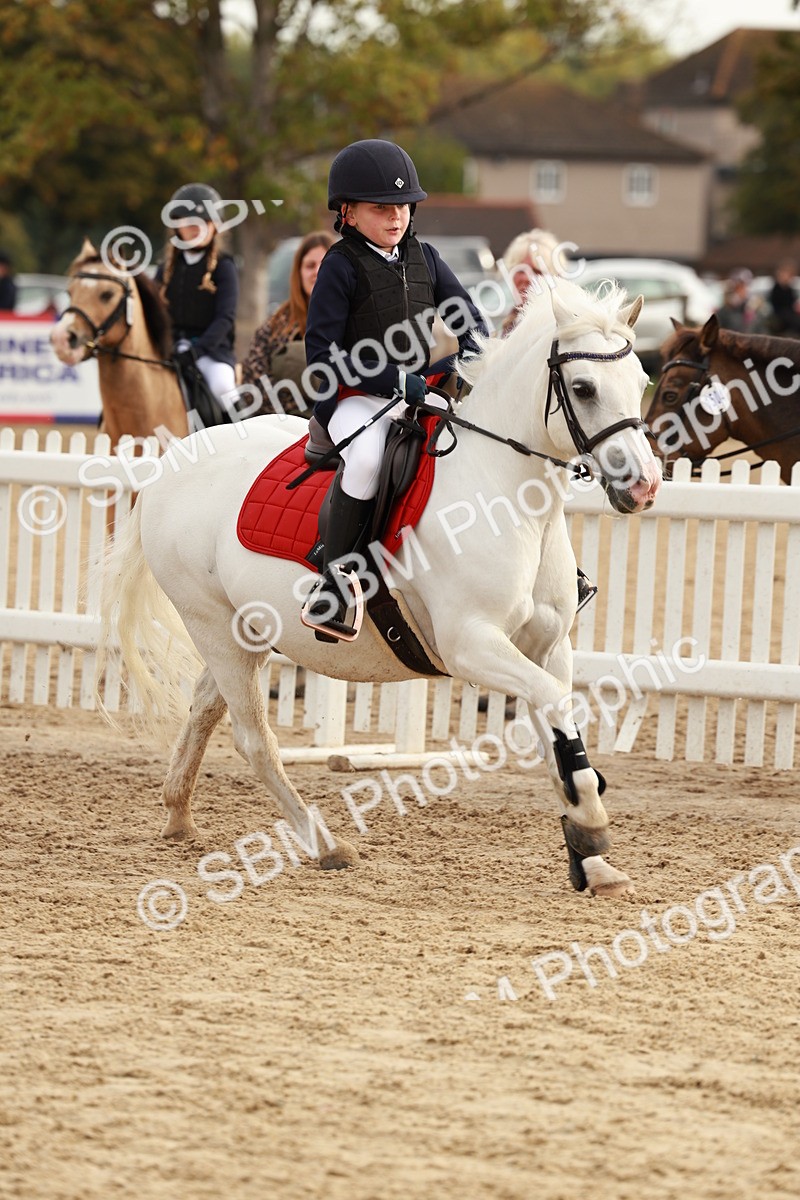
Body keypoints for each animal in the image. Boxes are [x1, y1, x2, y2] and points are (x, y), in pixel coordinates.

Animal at [99, 279, 661, 899]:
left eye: (641, 380)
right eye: (583, 388)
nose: (644, 485)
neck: (506, 494)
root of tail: (171, 465)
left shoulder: (548, 647)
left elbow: (560, 730)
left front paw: (591, 855)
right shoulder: (471, 646)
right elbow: (553, 710)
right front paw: (590, 825)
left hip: (247, 633)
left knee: (204, 707)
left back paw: (178, 813)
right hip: (214, 627)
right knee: (252, 737)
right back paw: (323, 844)